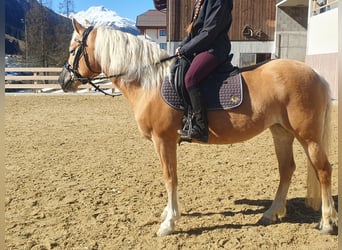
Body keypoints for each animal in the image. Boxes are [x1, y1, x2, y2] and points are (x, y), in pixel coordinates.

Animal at [58, 19, 336, 236]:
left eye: (72, 50)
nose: (63, 81)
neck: (149, 82)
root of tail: (314, 73)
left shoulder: (164, 140)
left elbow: (170, 177)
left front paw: (169, 223)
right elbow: (170, 177)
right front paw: (168, 214)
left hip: (308, 136)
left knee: (323, 170)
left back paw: (327, 222)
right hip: (281, 132)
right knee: (287, 169)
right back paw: (271, 213)